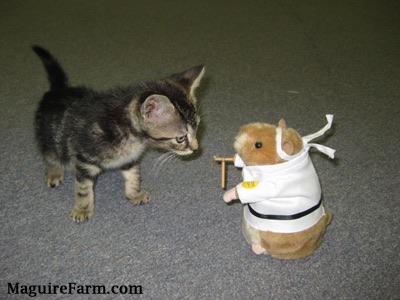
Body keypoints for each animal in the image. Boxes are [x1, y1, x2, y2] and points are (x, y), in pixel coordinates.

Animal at [32, 45, 205, 223]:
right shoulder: (84, 159)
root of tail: (58, 90)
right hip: (49, 138)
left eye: (197, 128)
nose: (196, 148)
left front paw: (134, 193)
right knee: (50, 155)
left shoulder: (129, 158)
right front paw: (82, 209)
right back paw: (54, 172)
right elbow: (83, 188)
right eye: (180, 138)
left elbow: (133, 175)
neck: (130, 134)